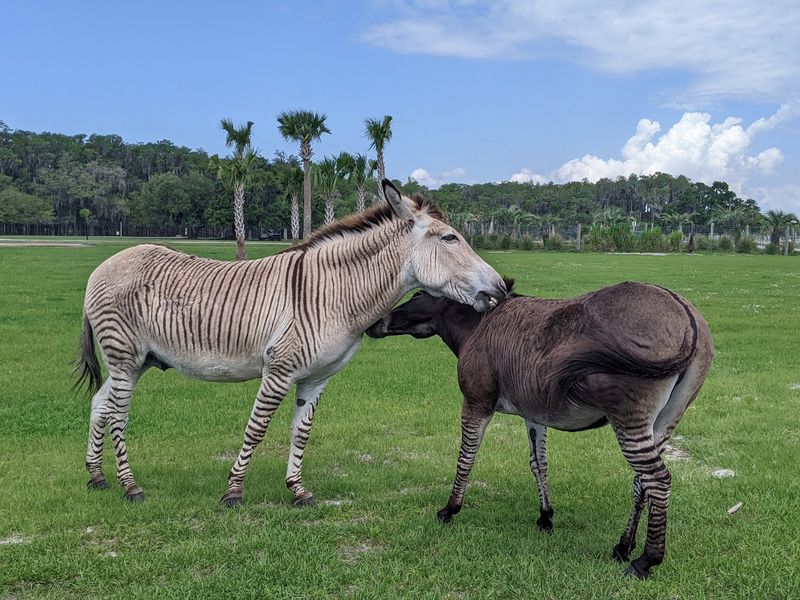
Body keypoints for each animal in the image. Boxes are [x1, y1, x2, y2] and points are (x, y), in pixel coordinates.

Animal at [75, 180, 507, 507]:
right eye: (451, 238)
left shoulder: (317, 377)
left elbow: (301, 432)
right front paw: (233, 492)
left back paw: (96, 477)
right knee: (117, 415)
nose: (502, 288)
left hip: (138, 360)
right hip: (125, 358)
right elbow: (257, 429)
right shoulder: (278, 370)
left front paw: (298, 491)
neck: (334, 294)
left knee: (100, 403)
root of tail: (104, 266)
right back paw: (130, 486)